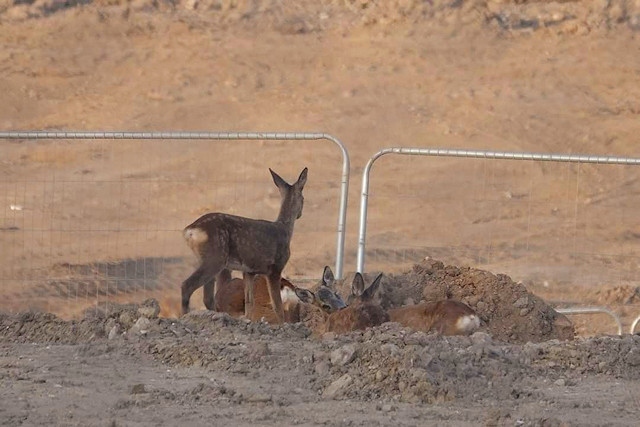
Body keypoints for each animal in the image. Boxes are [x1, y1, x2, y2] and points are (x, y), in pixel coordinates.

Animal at [181, 167, 308, 324]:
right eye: (303, 198)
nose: (300, 214)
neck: (284, 229)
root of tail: (190, 231)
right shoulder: (275, 267)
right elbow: (277, 306)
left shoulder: (248, 271)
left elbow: (249, 302)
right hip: (215, 258)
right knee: (187, 286)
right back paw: (185, 317)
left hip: (206, 259)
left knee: (207, 297)